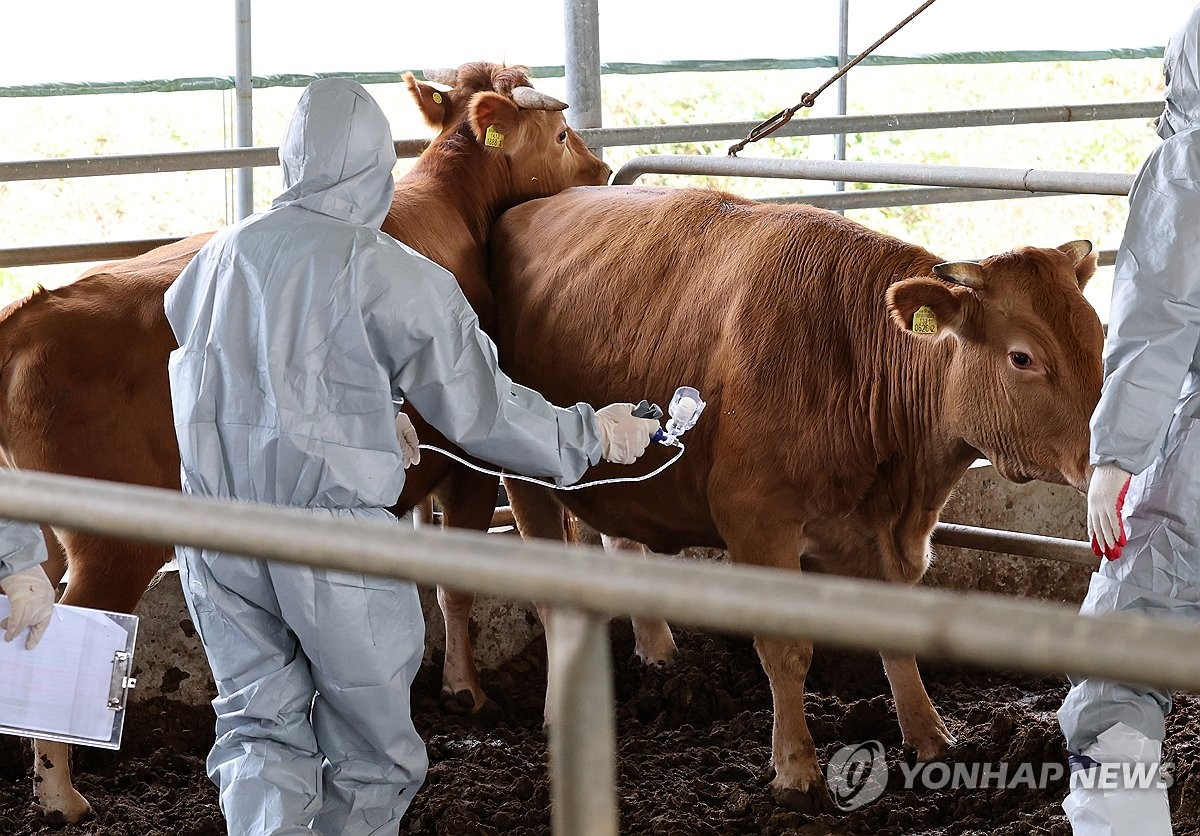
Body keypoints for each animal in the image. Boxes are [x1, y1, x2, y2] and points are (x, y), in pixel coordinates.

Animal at [460, 182, 1104, 810]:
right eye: (1022, 356)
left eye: (1098, 337)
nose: (1102, 453)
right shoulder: (757, 522)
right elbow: (786, 648)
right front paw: (796, 770)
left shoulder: (875, 531)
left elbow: (897, 640)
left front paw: (931, 739)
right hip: (522, 476)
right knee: (549, 598)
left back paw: (659, 654)